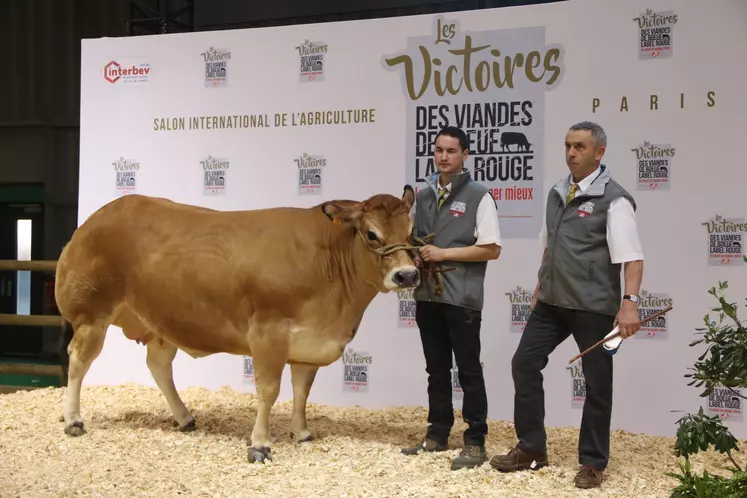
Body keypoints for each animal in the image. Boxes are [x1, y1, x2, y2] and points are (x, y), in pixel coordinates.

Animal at [54, 186, 420, 462]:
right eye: (371, 234)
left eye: (411, 233)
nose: (407, 275)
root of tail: (93, 220)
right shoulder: (269, 333)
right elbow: (268, 390)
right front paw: (259, 445)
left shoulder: (309, 343)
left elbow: (302, 390)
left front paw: (301, 432)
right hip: (92, 315)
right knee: (79, 361)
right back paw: (73, 420)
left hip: (161, 320)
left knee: (158, 366)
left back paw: (185, 417)